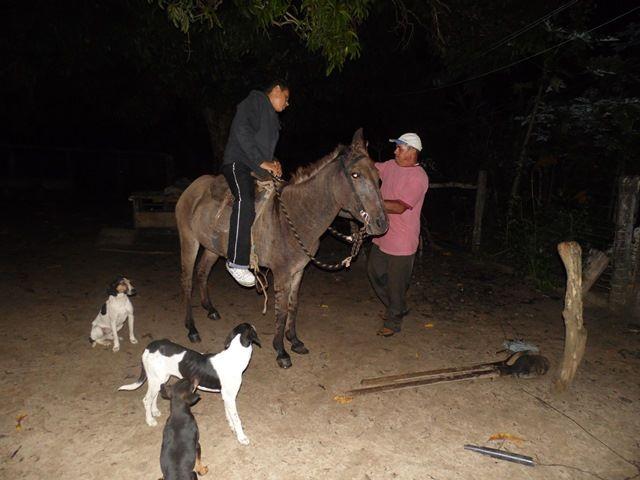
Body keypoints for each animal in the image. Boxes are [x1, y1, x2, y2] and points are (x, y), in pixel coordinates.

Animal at [120, 324, 260, 444]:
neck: (235, 356)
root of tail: (150, 346)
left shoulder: (226, 396)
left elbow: (229, 415)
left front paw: (232, 427)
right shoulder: (230, 397)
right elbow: (236, 418)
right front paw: (242, 437)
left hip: (159, 379)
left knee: (153, 397)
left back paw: (154, 411)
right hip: (156, 379)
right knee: (146, 399)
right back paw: (150, 420)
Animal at [172, 129, 388, 370]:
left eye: (378, 176)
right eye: (355, 175)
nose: (381, 223)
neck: (296, 215)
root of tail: (192, 187)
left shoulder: (299, 270)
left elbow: (293, 306)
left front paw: (294, 340)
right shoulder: (282, 273)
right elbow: (282, 310)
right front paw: (281, 351)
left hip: (213, 248)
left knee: (202, 272)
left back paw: (210, 309)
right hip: (189, 241)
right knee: (187, 281)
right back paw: (191, 329)